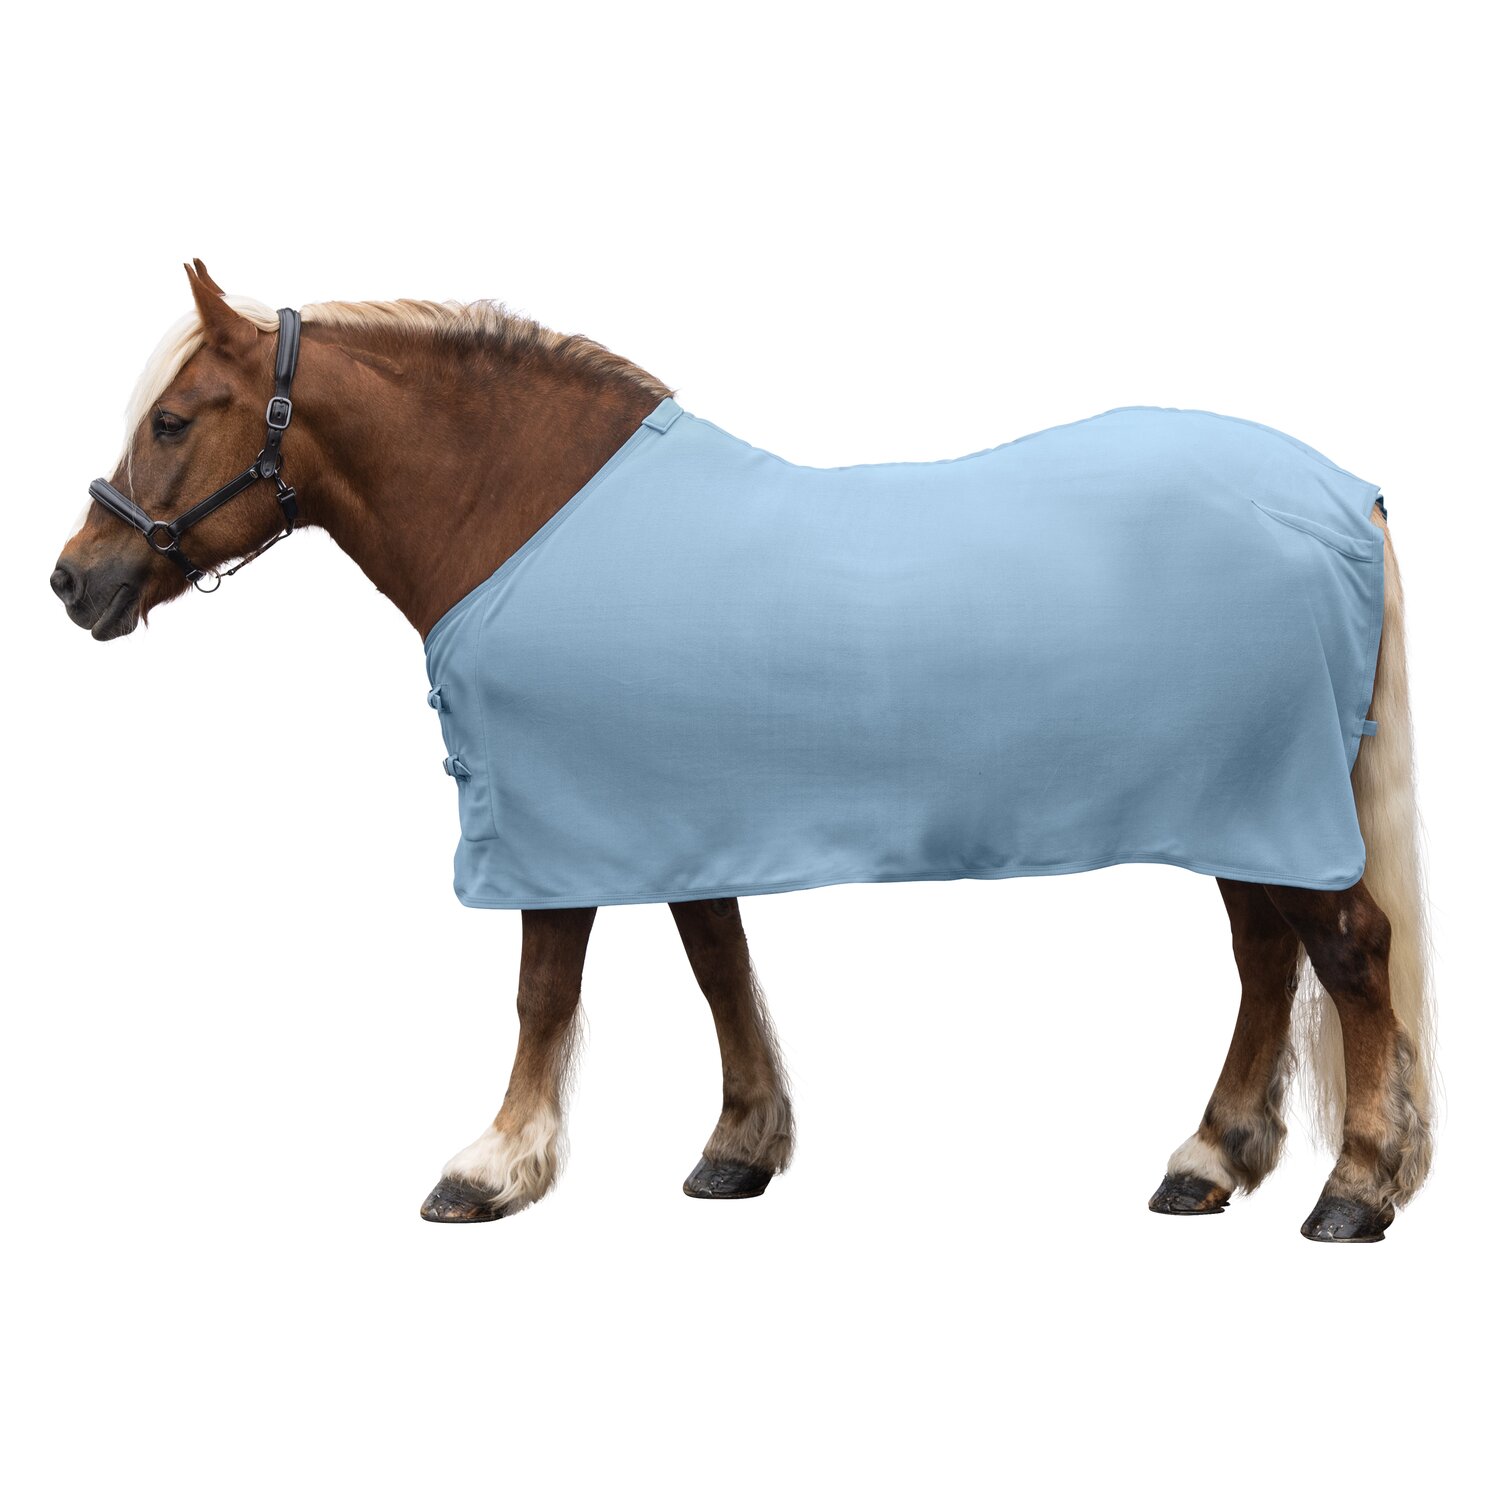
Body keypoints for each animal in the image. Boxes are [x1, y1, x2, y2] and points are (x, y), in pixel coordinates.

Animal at [52, 261, 1433, 1241]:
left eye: (172, 420)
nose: (75, 580)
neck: (528, 518)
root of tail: (1340, 494)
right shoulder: (672, 817)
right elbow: (720, 964)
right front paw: (739, 1147)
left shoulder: (558, 827)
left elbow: (543, 990)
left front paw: (492, 1169)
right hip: (1237, 806)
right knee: (1266, 960)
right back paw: (1210, 1161)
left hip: (1272, 800)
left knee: (1348, 952)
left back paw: (1355, 1190)